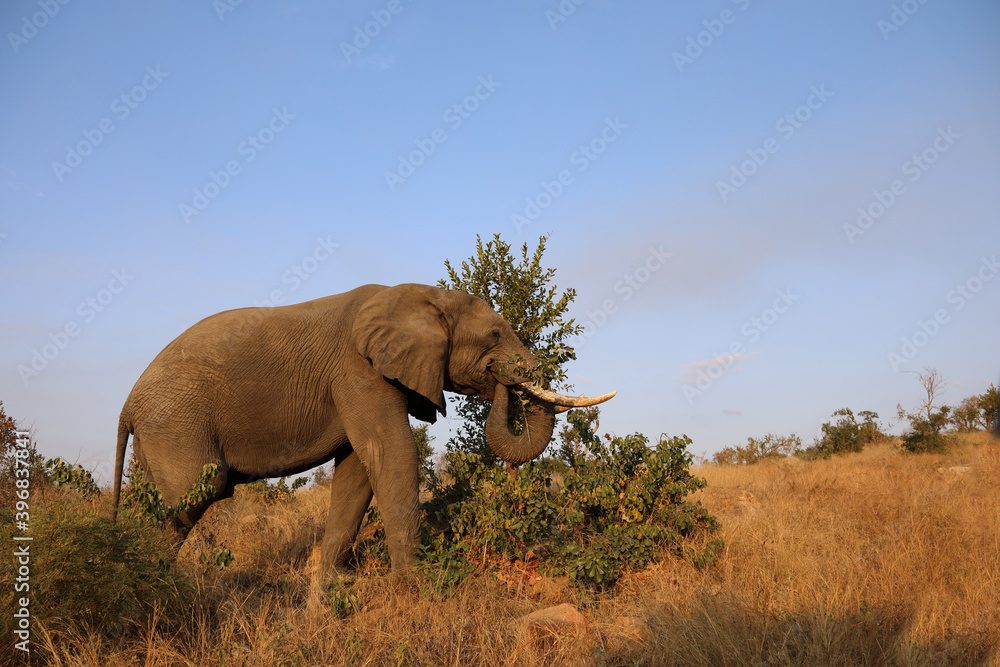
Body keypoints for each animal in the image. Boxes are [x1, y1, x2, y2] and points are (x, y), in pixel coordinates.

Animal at [112, 283, 614, 578]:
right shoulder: (359, 371)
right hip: (176, 421)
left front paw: (331, 586)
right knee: (195, 492)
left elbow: (357, 470)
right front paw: (417, 586)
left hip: (160, 431)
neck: (418, 295)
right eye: (494, 336)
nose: (507, 382)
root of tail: (127, 403)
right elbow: (392, 454)